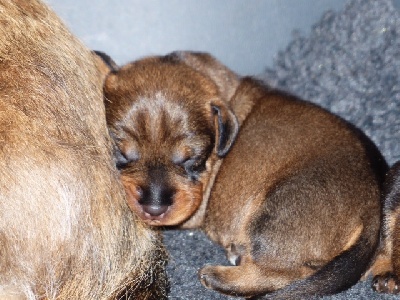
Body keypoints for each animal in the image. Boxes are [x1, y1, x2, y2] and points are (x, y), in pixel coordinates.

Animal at [101, 51, 390, 298]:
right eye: (122, 153)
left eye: (191, 159)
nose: (154, 208)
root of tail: (371, 210)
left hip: (278, 211)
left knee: (285, 273)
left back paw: (218, 275)